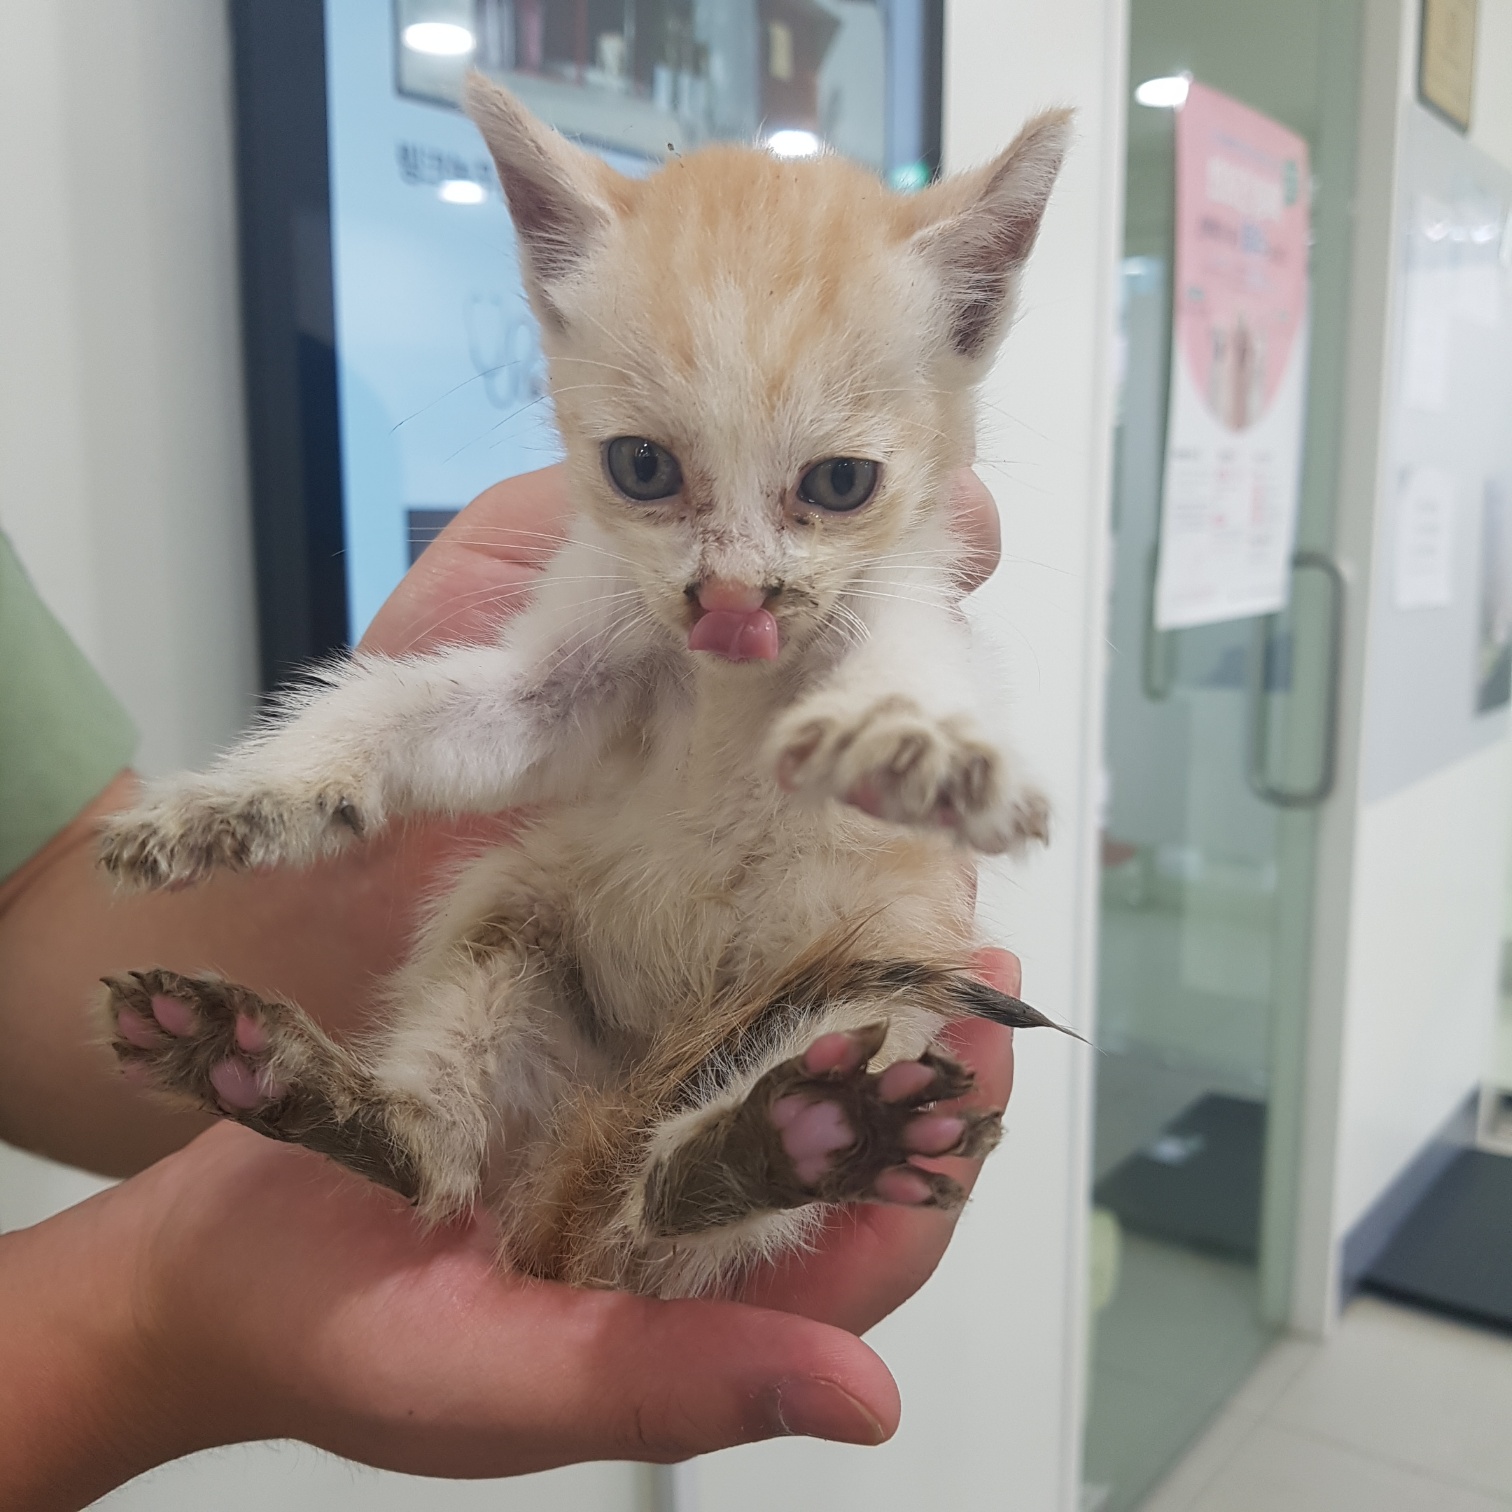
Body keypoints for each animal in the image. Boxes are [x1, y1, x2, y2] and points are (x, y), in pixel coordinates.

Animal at [97, 73, 1064, 1300]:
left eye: (841, 484)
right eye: (641, 468)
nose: (731, 604)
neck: (725, 687)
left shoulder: (906, 615)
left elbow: (906, 683)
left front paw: (911, 744)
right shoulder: (564, 687)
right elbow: (403, 709)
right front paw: (243, 798)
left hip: (875, 981)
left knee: (661, 1222)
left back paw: (783, 1144)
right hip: (511, 919)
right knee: (448, 1161)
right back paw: (301, 1090)